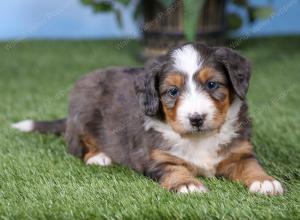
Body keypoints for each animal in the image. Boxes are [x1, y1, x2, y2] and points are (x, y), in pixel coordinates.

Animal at [11, 42, 284, 194]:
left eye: (212, 84)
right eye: (172, 92)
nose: (196, 118)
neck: (198, 139)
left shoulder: (239, 151)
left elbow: (251, 165)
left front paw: (265, 182)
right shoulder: (156, 157)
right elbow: (174, 170)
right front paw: (187, 185)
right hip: (83, 114)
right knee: (79, 146)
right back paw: (99, 156)